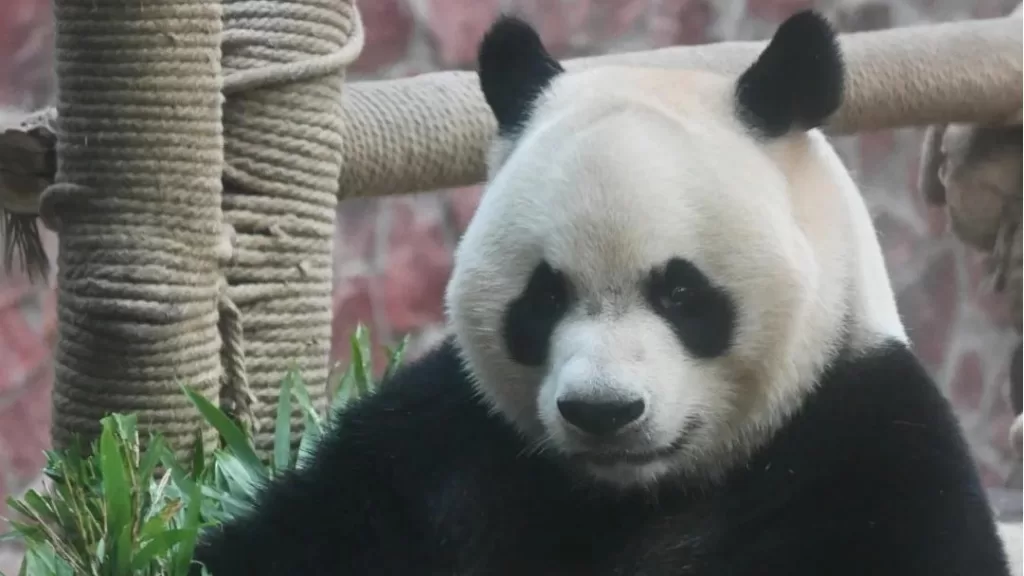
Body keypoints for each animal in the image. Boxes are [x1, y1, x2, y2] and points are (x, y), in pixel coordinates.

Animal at [191, 10, 1013, 576]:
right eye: (543, 298)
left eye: (682, 293)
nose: (603, 412)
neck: (637, 492)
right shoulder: (451, 440)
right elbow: (302, 534)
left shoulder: (864, 440)